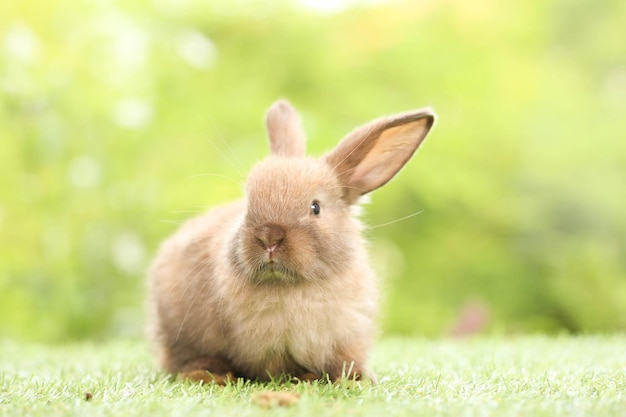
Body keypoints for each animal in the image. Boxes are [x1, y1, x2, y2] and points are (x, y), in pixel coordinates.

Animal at [146, 100, 434, 384]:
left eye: (315, 207)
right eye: (248, 205)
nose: (268, 237)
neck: (295, 286)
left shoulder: (349, 333)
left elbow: (345, 361)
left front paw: (357, 378)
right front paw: (305, 377)